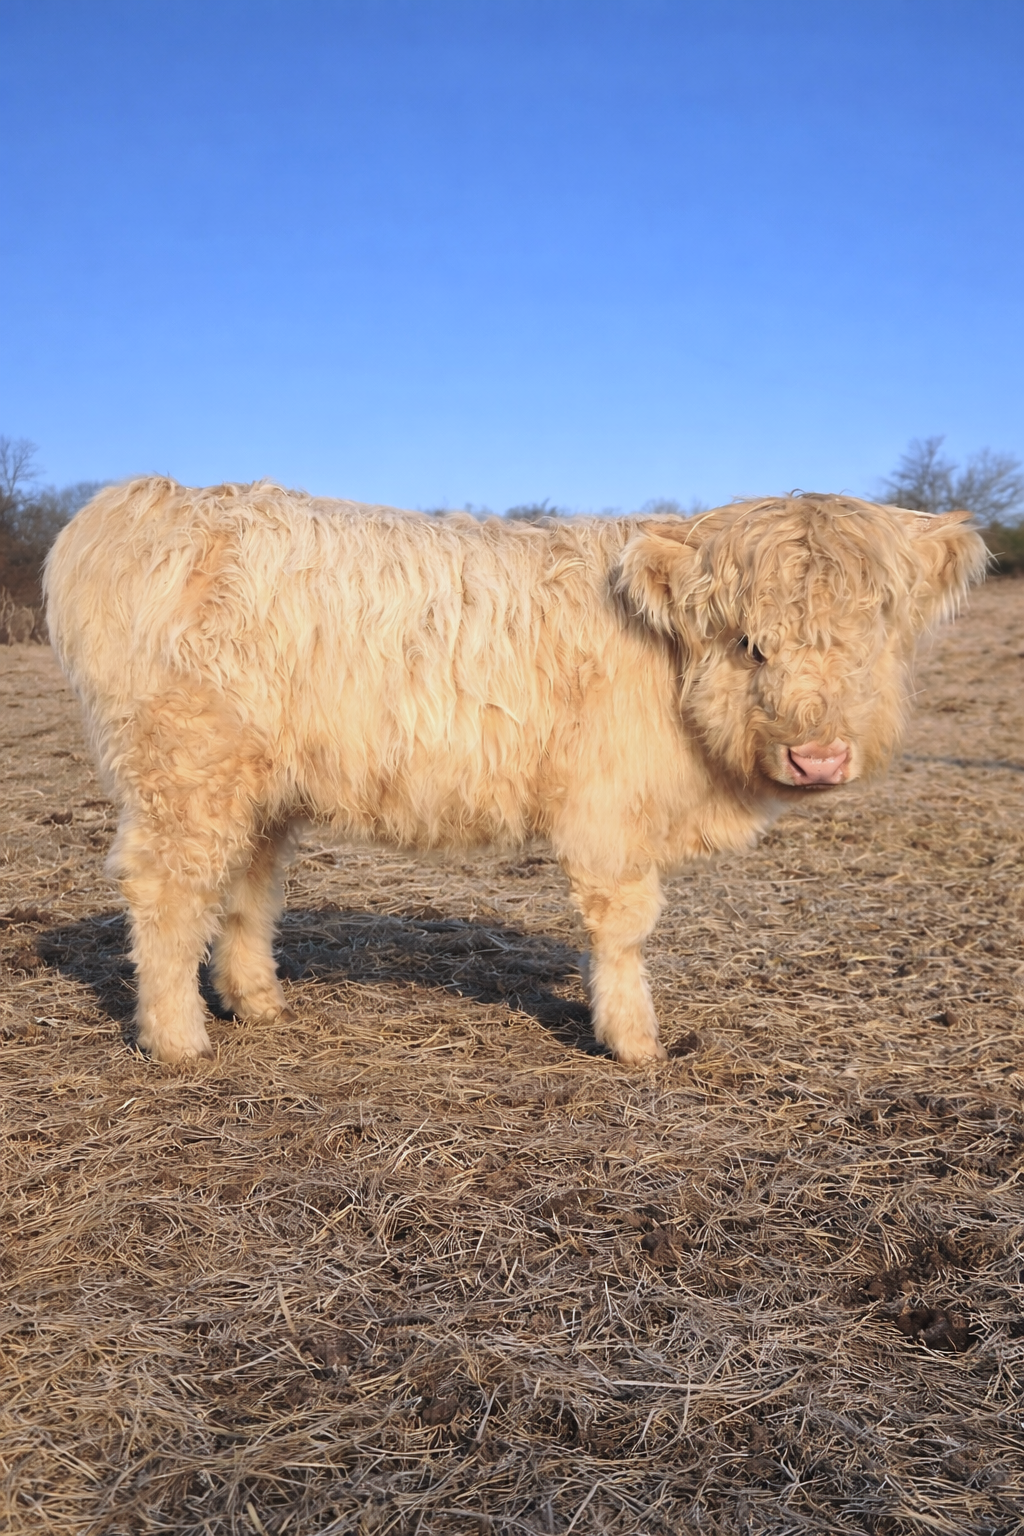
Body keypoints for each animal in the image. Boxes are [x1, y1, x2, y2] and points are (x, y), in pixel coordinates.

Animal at [44, 478, 986, 1066]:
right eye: (751, 643)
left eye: (868, 642)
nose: (818, 755)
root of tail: (155, 497)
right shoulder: (611, 809)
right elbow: (625, 926)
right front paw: (633, 1040)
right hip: (184, 770)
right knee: (167, 890)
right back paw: (177, 1039)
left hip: (257, 784)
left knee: (247, 886)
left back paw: (257, 1001)